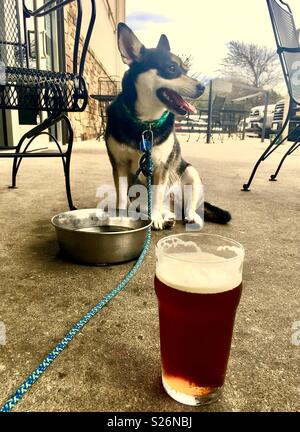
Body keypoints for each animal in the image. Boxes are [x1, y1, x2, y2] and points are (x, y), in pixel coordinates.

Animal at [104, 22, 231, 231]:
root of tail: (174, 204)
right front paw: (120, 218)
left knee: (187, 208)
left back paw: (185, 217)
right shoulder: (119, 165)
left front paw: (155, 218)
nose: (202, 87)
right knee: (154, 207)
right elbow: (121, 198)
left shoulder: (160, 168)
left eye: (186, 70)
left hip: (190, 174)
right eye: (171, 68)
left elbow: (155, 196)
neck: (146, 123)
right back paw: (167, 217)